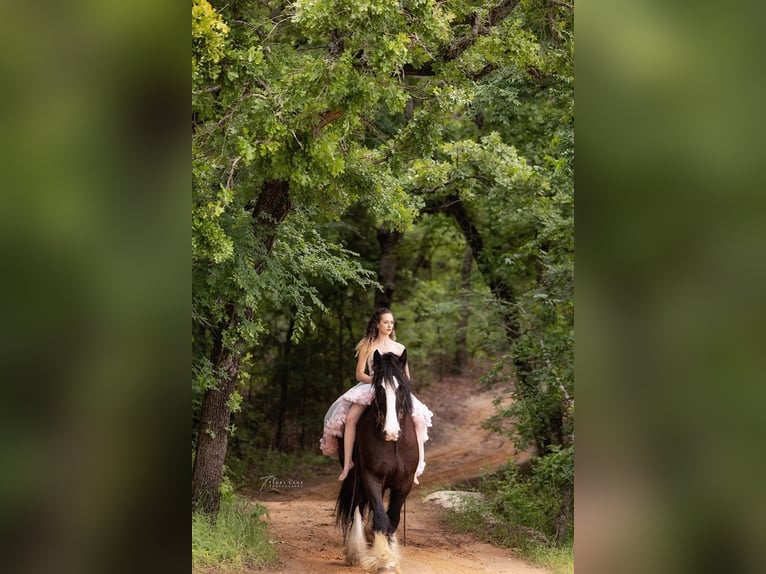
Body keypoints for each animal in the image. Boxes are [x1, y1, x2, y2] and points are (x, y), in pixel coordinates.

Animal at [336, 348, 420, 572]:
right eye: (380, 388)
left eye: (401, 387)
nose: (391, 432)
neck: (393, 444)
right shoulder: (370, 476)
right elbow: (381, 517)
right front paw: (384, 558)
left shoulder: (404, 483)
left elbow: (392, 517)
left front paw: (388, 552)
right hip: (355, 475)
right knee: (358, 505)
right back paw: (355, 550)